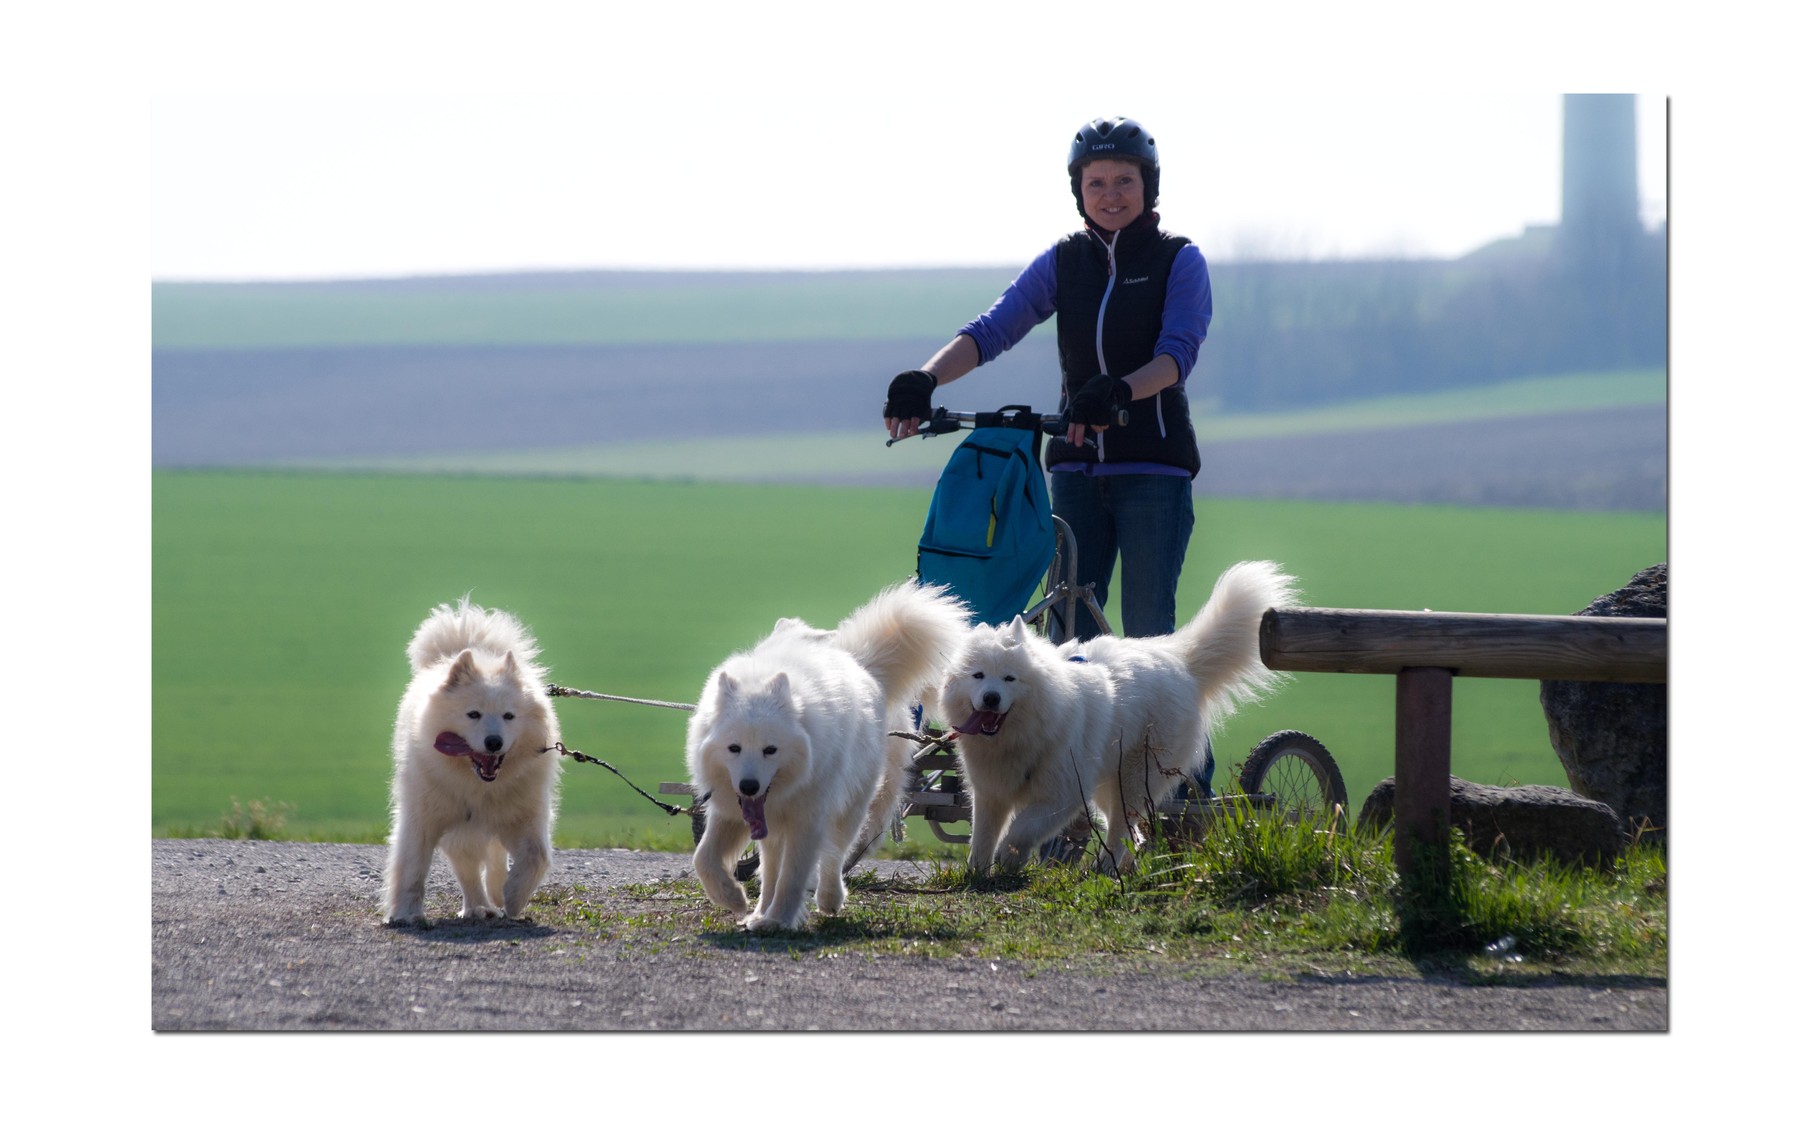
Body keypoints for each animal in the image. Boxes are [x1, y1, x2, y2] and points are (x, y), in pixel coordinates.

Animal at [379, 600, 556, 923]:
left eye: (509, 716)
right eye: (473, 714)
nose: (494, 742)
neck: (479, 785)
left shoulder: (526, 816)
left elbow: (537, 856)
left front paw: (513, 897)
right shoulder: (422, 819)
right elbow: (412, 869)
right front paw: (406, 914)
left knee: (494, 859)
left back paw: (494, 897)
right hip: (461, 831)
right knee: (468, 869)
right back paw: (477, 907)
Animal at [683, 578, 967, 927]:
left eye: (770, 750)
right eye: (733, 748)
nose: (749, 786)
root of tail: (860, 663)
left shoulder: (807, 820)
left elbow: (793, 875)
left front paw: (780, 919)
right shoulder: (730, 810)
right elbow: (704, 857)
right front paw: (733, 898)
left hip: (851, 809)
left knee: (833, 857)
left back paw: (828, 900)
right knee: (772, 866)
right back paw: (759, 913)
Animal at [945, 556, 1301, 865]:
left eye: (1009, 678)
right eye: (978, 676)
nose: (991, 698)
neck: (1025, 733)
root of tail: (1178, 661)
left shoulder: (1062, 793)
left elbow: (1023, 829)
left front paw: (1009, 858)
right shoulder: (990, 793)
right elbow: (982, 837)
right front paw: (977, 873)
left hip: (1132, 778)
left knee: (1122, 829)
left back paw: (1106, 868)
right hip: (1110, 783)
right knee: (1132, 833)